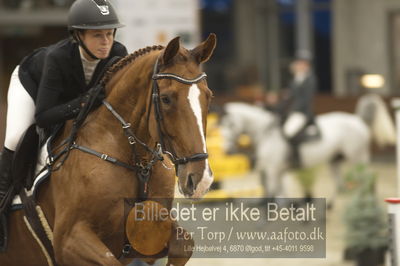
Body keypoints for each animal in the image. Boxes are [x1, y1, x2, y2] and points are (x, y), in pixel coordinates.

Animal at [0, 34, 217, 264]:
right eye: (166, 99)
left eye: (209, 96)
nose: (201, 181)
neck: (135, 161)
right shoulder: (68, 240)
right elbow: (107, 259)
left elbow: (183, 244)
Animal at [220, 94, 396, 204]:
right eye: (221, 126)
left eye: (231, 124)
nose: (228, 150)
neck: (267, 131)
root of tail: (358, 120)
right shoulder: (276, 170)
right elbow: (279, 191)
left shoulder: (273, 169)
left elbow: (272, 191)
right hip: (335, 160)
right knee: (340, 184)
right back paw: (331, 206)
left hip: (358, 157)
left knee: (366, 179)